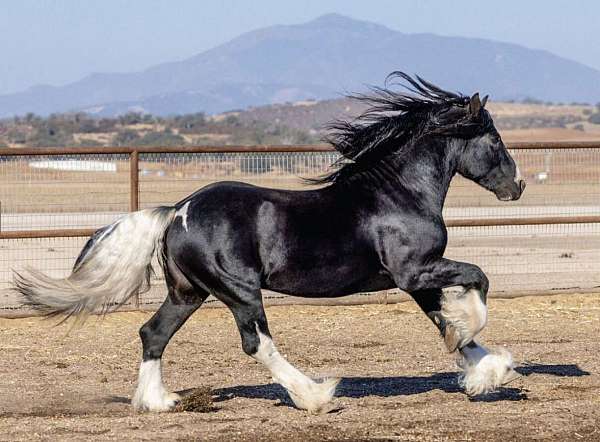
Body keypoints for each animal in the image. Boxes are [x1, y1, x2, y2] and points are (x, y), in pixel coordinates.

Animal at [15, 72, 524, 414]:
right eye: (495, 139)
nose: (516, 186)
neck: (398, 194)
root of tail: (177, 211)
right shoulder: (414, 270)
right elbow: (478, 281)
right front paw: (477, 344)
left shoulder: (416, 279)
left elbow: (443, 320)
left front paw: (486, 371)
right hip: (239, 291)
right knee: (256, 343)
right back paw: (316, 395)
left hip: (189, 292)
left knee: (152, 333)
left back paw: (160, 401)